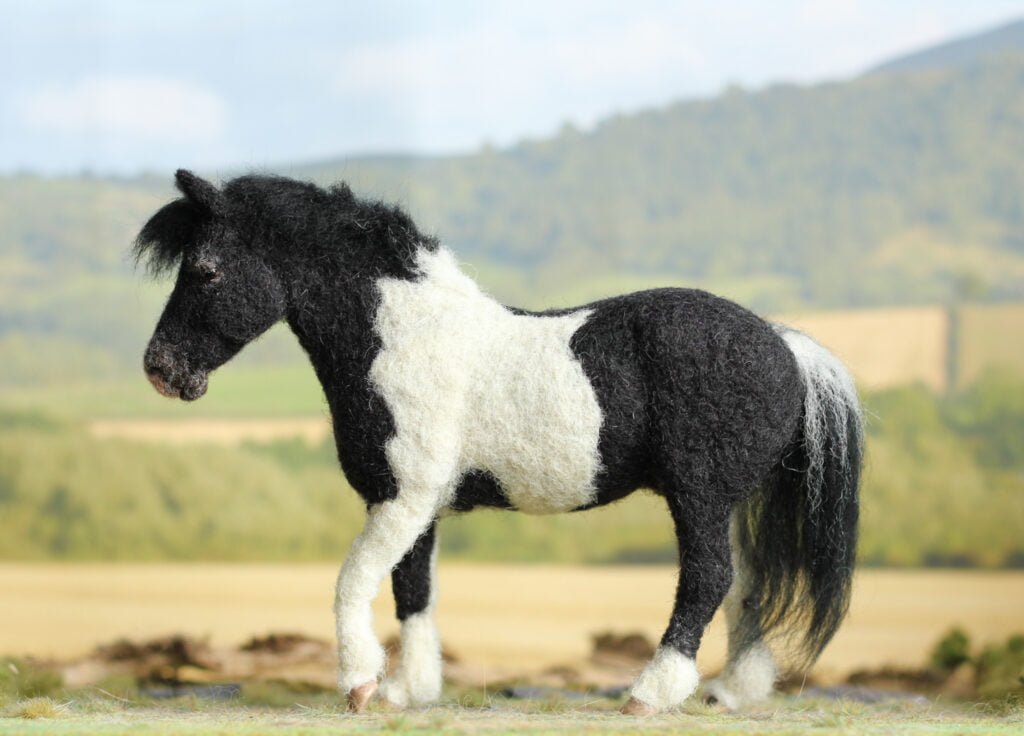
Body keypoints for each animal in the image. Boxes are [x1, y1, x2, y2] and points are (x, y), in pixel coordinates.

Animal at [132, 170, 860, 712]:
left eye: (205, 270)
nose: (161, 370)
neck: (404, 339)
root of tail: (785, 347)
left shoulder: (402, 498)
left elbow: (352, 582)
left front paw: (362, 685)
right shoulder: (413, 507)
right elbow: (412, 591)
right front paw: (408, 692)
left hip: (700, 497)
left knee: (708, 580)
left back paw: (650, 695)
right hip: (730, 504)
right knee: (751, 589)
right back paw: (729, 693)